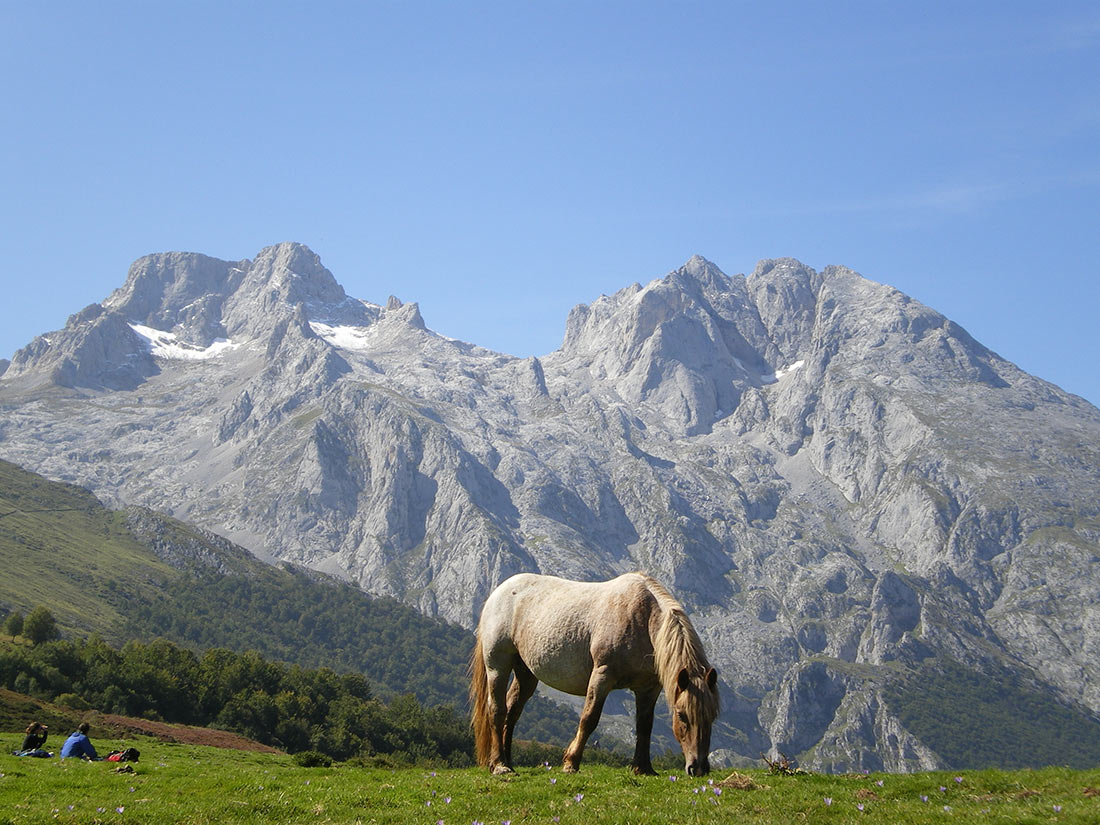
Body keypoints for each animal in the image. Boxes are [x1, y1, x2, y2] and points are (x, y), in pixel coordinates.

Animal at [466, 576, 717, 774]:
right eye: (682, 715)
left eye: (712, 716)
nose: (698, 768)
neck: (642, 617)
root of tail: (500, 591)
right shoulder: (602, 676)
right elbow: (589, 719)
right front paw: (571, 763)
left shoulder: (648, 688)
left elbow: (644, 726)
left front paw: (643, 768)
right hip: (497, 665)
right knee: (497, 710)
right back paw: (500, 765)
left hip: (525, 673)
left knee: (512, 711)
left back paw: (507, 761)